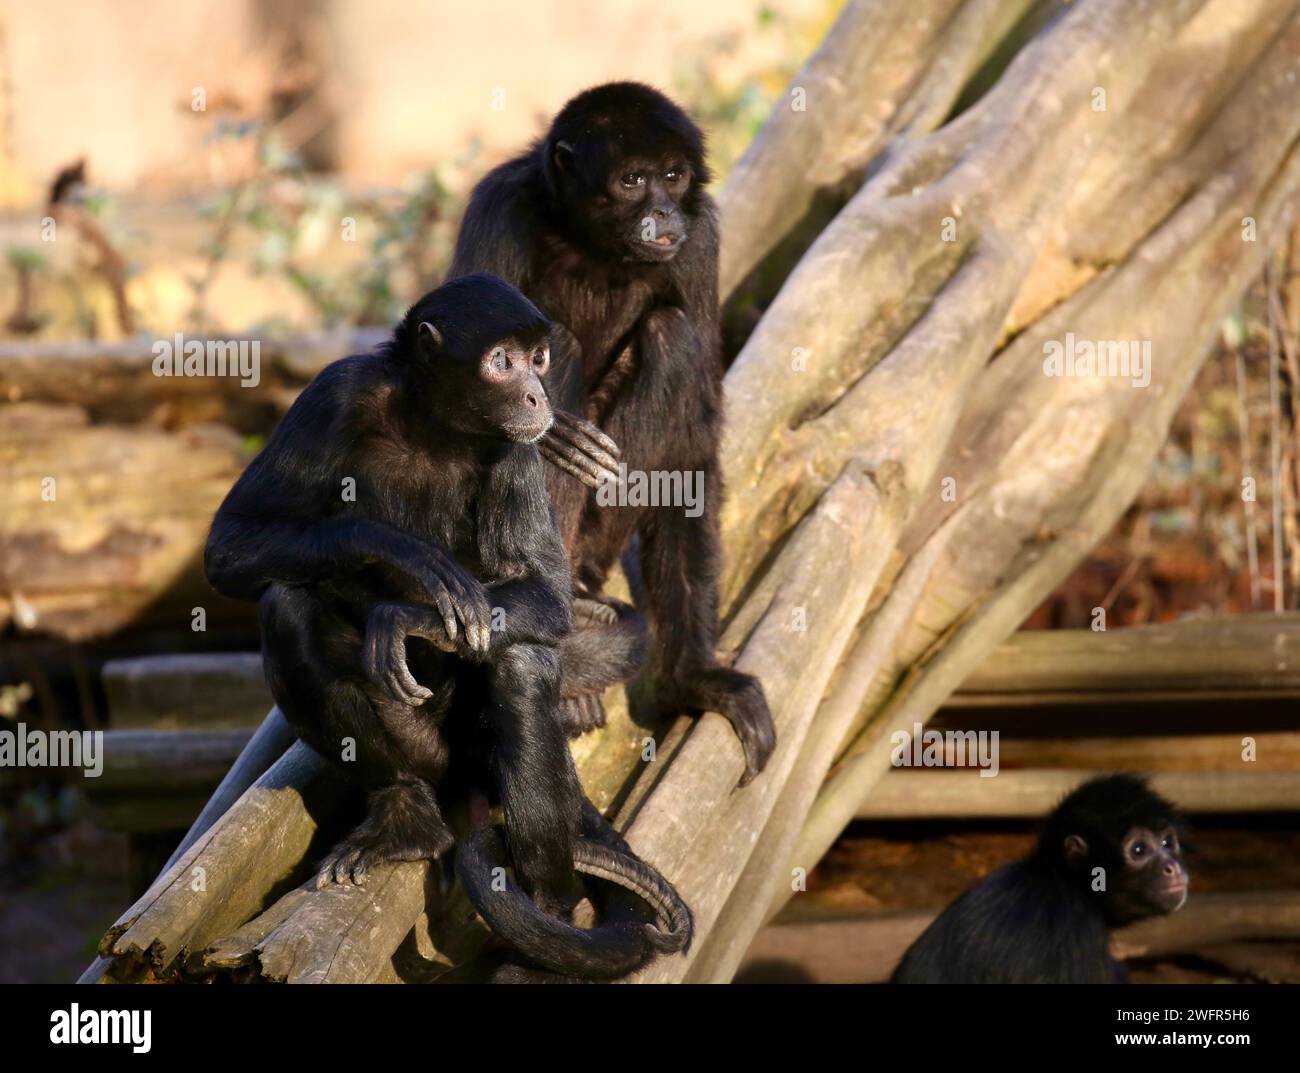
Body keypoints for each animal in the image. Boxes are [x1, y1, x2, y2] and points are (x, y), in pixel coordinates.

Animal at [204, 271, 691, 972]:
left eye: (538, 358)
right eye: (501, 362)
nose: (536, 393)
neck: (431, 427)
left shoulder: (518, 445)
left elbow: (546, 596)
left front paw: (408, 613)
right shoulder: (336, 392)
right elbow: (230, 543)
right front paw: (400, 551)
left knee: (519, 661)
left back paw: (549, 911)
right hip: (424, 748)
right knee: (288, 604)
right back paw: (405, 820)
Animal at [452, 77, 774, 780]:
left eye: (673, 176)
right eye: (632, 180)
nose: (663, 213)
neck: (593, 248)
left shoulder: (700, 239)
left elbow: (697, 449)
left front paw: (693, 679)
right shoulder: (498, 206)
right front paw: (553, 436)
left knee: (670, 335)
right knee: (562, 342)